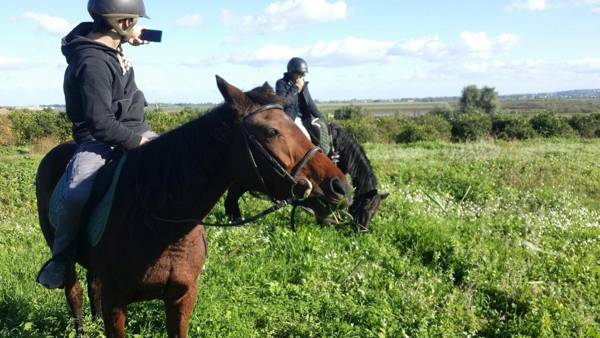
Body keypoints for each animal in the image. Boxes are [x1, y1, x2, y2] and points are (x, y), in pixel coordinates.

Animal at [35, 76, 352, 338]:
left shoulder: (182, 297)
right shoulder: (117, 303)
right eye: (271, 131)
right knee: (74, 291)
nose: (340, 187)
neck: (160, 225)